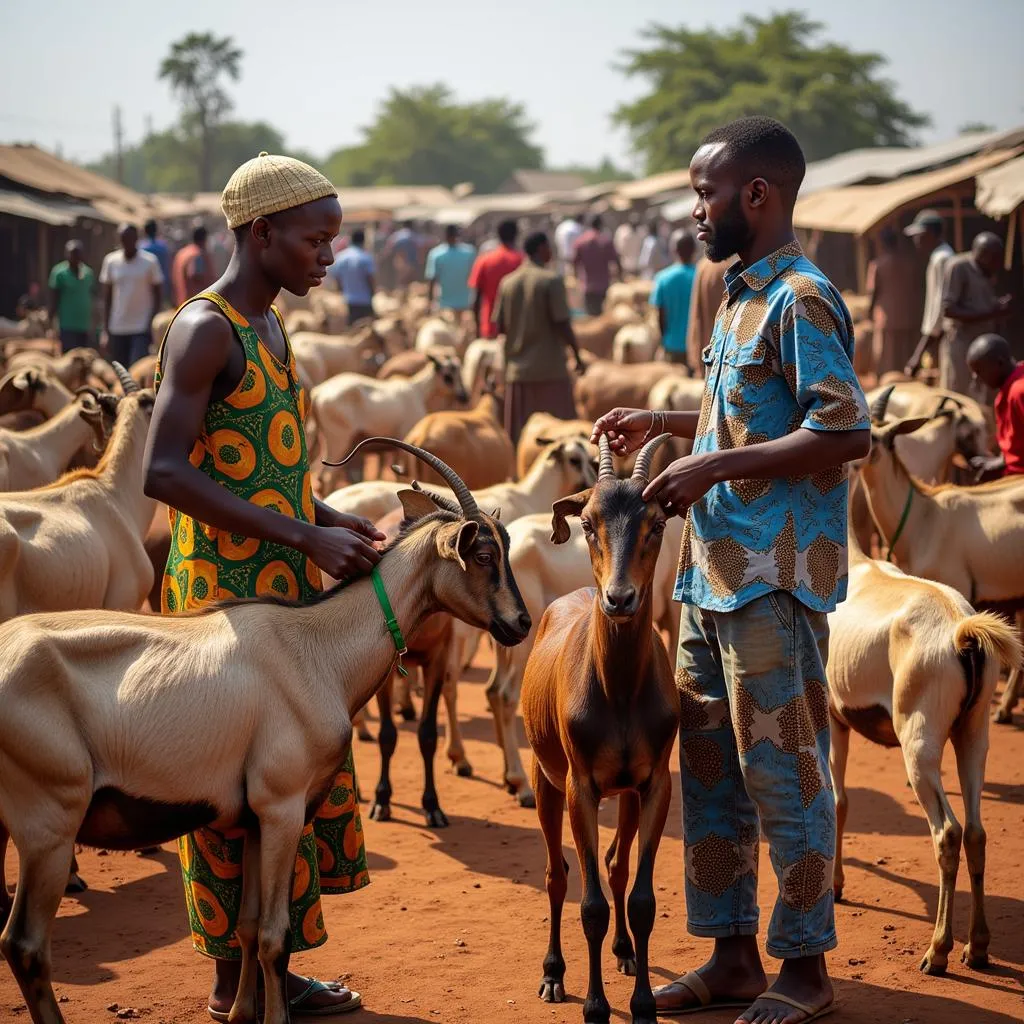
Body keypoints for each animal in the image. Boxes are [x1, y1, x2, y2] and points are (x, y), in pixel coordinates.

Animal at [0, 444, 528, 1024]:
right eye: (483, 555)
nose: (522, 624)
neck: (315, 648)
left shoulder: (250, 818)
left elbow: (249, 928)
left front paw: (239, 1015)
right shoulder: (282, 806)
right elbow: (277, 936)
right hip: (49, 822)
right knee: (24, 945)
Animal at [520, 434, 679, 1024]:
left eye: (656, 522)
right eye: (587, 522)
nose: (619, 599)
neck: (620, 692)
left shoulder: (655, 785)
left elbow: (641, 898)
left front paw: (644, 1006)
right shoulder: (580, 788)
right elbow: (589, 904)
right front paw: (593, 1006)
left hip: (626, 795)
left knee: (615, 865)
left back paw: (627, 954)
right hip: (545, 781)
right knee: (556, 876)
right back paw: (552, 974)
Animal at [827, 528, 1019, 974]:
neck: (858, 566)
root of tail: (962, 631)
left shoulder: (831, 717)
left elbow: (838, 801)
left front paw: (836, 886)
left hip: (918, 748)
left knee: (947, 832)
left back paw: (938, 951)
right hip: (972, 736)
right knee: (976, 831)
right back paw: (977, 947)